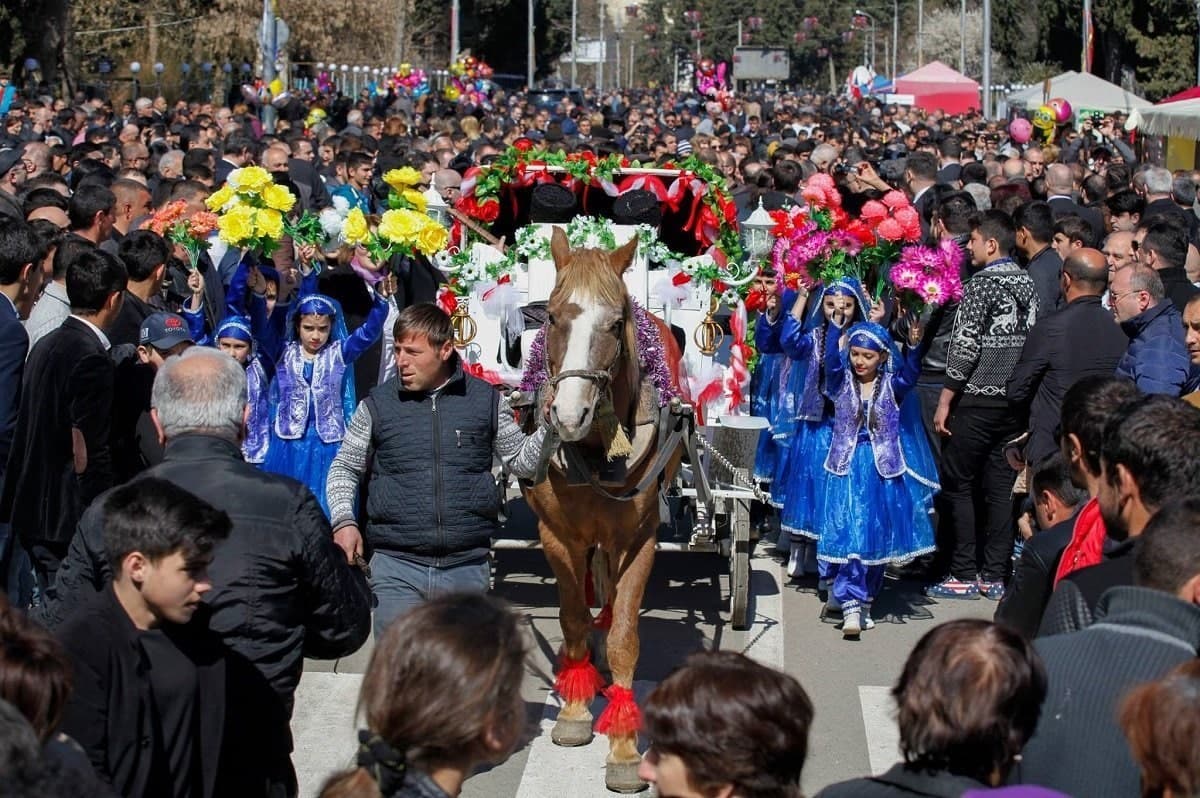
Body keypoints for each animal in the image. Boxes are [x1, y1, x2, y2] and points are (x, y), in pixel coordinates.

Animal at [525, 229, 686, 792]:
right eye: (552, 317)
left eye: (615, 323)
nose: (569, 414)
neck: (595, 449)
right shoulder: (557, 536)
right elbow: (574, 620)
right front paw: (573, 711)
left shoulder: (639, 540)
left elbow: (624, 639)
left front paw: (622, 744)